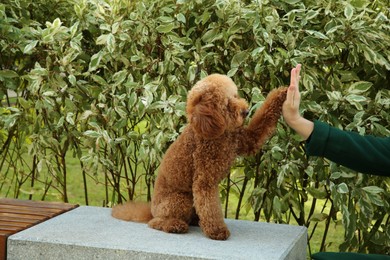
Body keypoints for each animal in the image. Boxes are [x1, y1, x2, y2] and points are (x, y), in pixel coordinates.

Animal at [112, 73, 286, 240]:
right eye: (227, 104)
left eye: (236, 96)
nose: (246, 112)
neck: (217, 133)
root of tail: (151, 210)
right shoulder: (204, 180)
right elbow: (210, 207)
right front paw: (217, 231)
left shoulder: (245, 140)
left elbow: (262, 119)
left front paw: (282, 93)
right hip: (180, 200)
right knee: (156, 222)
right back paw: (174, 225)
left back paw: (195, 221)